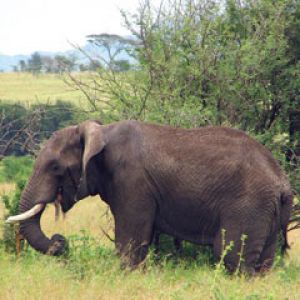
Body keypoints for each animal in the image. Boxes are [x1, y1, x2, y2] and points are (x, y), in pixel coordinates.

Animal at [6, 120, 292, 274]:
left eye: (55, 167)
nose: (60, 241)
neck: (101, 131)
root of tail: (282, 182)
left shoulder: (132, 181)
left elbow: (129, 243)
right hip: (265, 209)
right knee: (263, 262)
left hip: (249, 203)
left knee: (232, 257)